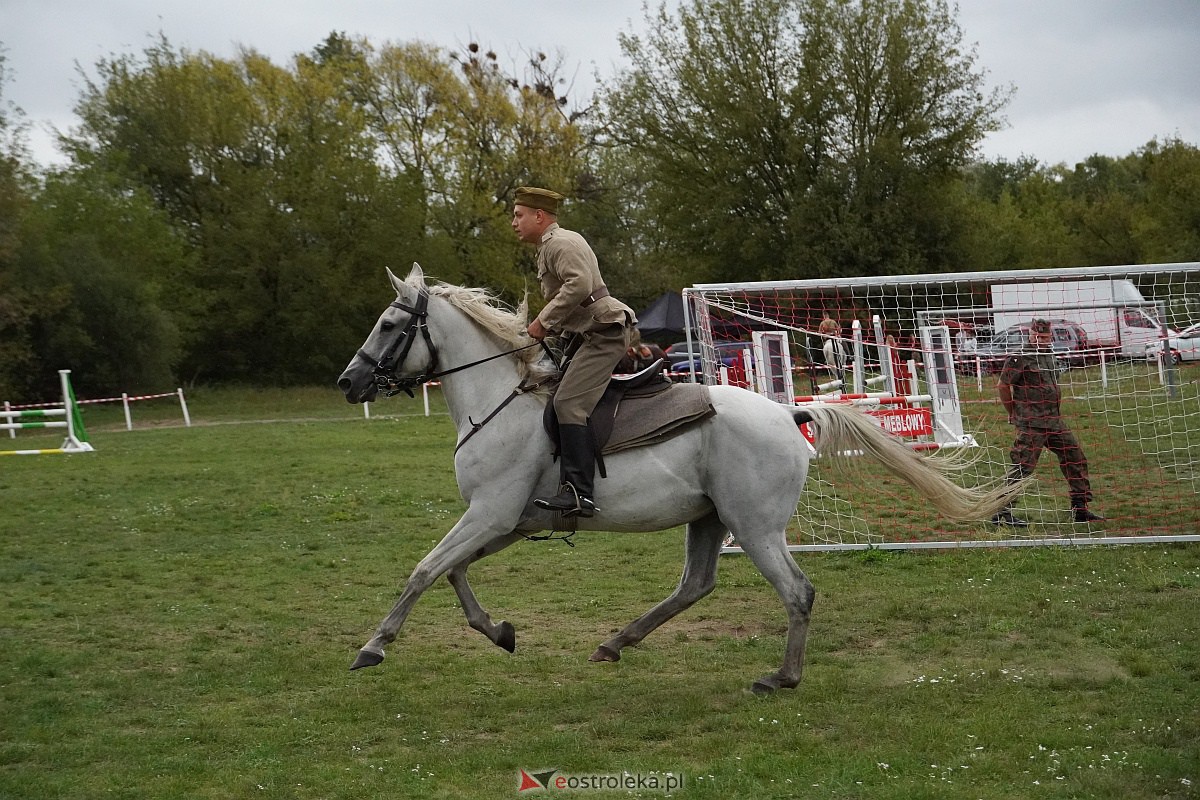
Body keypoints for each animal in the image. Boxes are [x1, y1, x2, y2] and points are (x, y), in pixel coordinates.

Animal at [336, 263, 1022, 695]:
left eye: (389, 325)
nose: (348, 382)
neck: (500, 400)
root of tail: (787, 414)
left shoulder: (489, 514)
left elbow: (424, 569)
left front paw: (373, 646)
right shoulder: (508, 520)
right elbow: (452, 571)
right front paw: (498, 632)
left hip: (753, 527)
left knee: (796, 592)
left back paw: (781, 677)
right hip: (709, 519)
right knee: (695, 585)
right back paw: (617, 642)